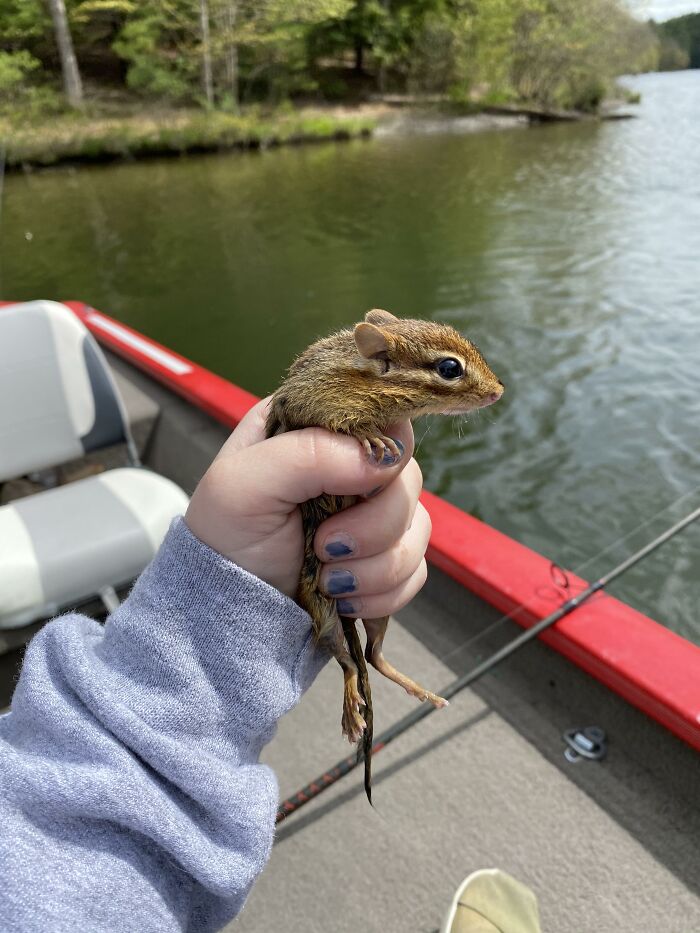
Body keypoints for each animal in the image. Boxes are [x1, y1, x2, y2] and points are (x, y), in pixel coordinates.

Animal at [265, 308, 504, 803]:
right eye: (449, 368)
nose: (499, 391)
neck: (369, 381)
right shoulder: (310, 401)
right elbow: (334, 421)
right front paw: (370, 437)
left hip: (379, 611)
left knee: (373, 656)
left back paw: (424, 694)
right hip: (321, 610)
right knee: (347, 661)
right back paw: (352, 708)